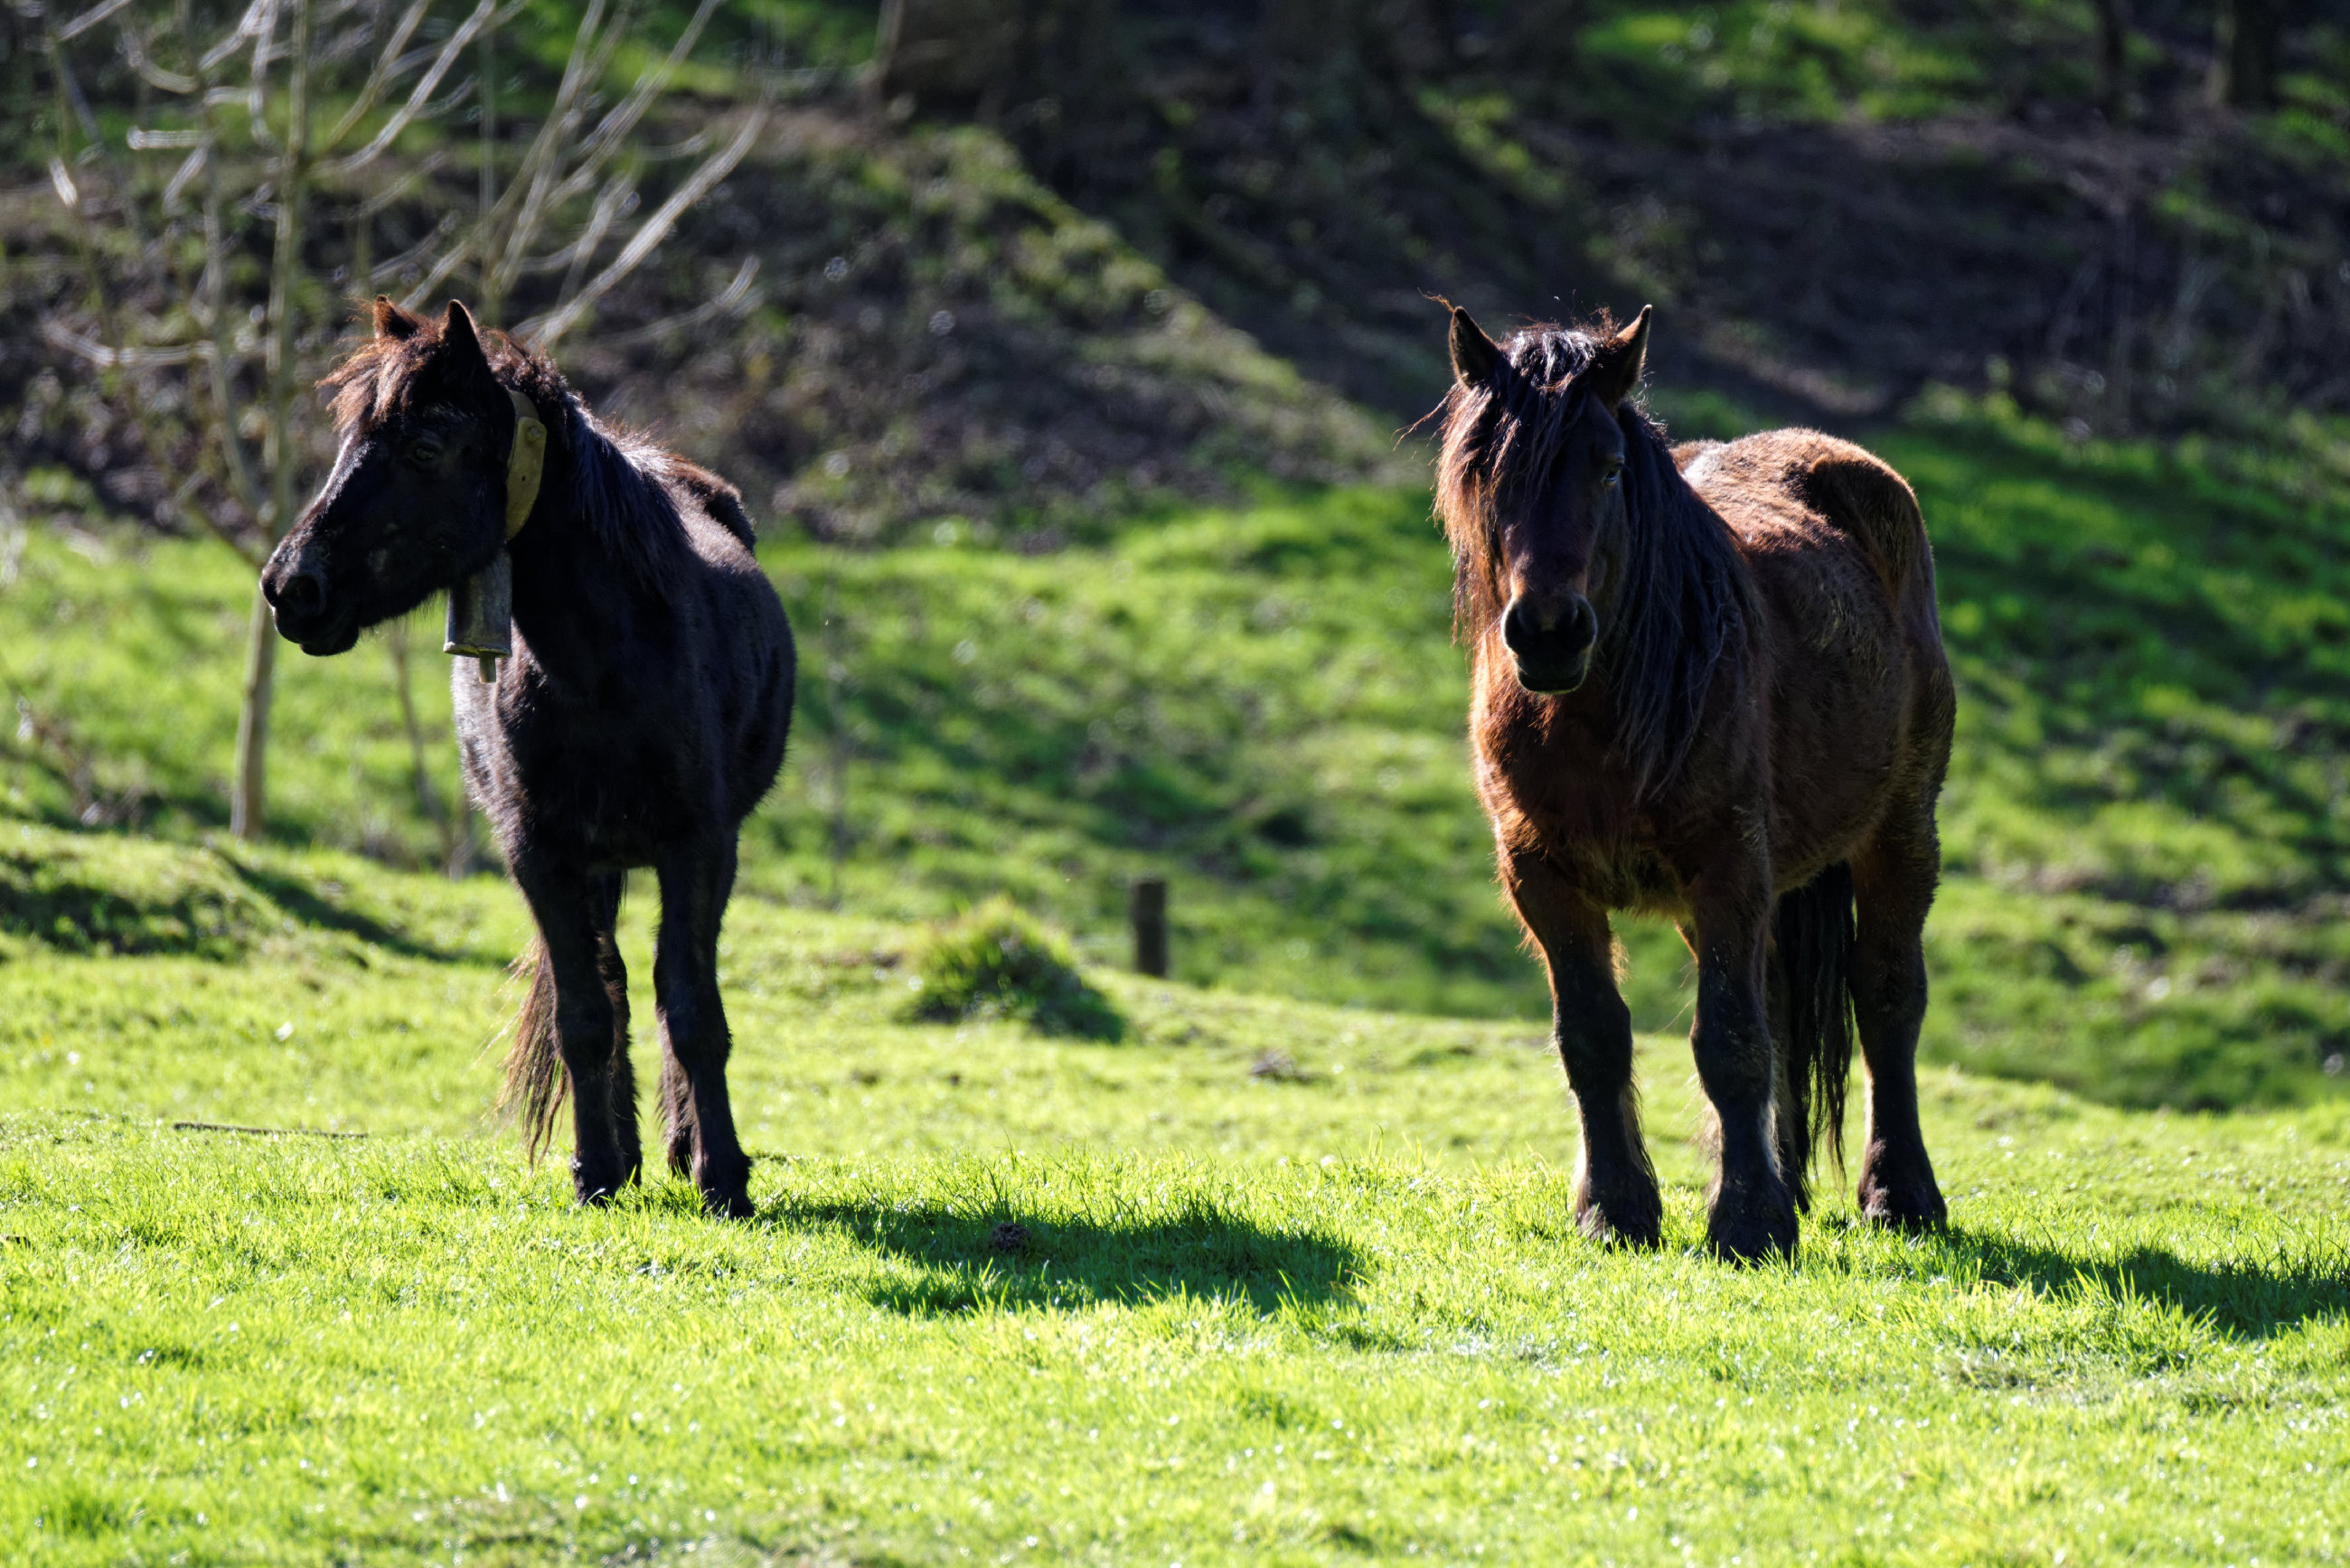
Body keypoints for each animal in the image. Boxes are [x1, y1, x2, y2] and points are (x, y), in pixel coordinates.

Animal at [261, 298, 795, 1217]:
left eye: (424, 448)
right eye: (345, 441)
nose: (290, 587)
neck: (603, 664)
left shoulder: (699, 845)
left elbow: (693, 1008)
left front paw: (723, 1175)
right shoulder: (539, 853)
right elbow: (584, 1012)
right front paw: (596, 1170)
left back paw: (681, 1147)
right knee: (615, 986)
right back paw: (632, 1152)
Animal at [1435, 303, 1955, 1260]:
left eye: (1607, 467)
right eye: (1486, 473)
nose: (1550, 630)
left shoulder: (1728, 866)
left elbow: (1730, 1039)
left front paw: (1747, 1223)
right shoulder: (1543, 877)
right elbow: (1594, 1038)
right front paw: (1615, 1208)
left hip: (1899, 832)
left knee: (1887, 996)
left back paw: (1900, 1195)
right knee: (1785, 1003)